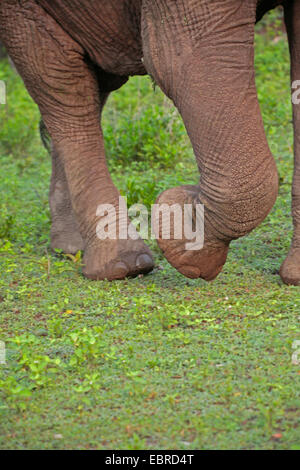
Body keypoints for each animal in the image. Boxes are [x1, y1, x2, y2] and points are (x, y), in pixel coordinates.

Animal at [0, 0, 298, 282]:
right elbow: (178, 58)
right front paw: (178, 222)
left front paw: (293, 277)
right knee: (62, 83)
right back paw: (124, 265)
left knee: (90, 84)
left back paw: (73, 249)